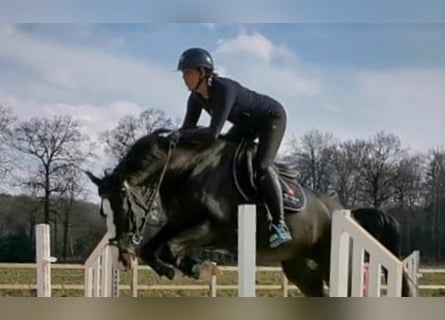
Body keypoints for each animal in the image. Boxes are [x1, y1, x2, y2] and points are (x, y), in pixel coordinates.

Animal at [86, 128, 412, 298]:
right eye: (104, 214)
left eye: (124, 208)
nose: (121, 256)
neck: (186, 168)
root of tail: (347, 212)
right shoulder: (178, 224)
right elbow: (153, 248)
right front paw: (182, 268)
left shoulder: (211, 228)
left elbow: (167, 248)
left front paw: (192, 267)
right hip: (300, 269)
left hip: (335, 263)